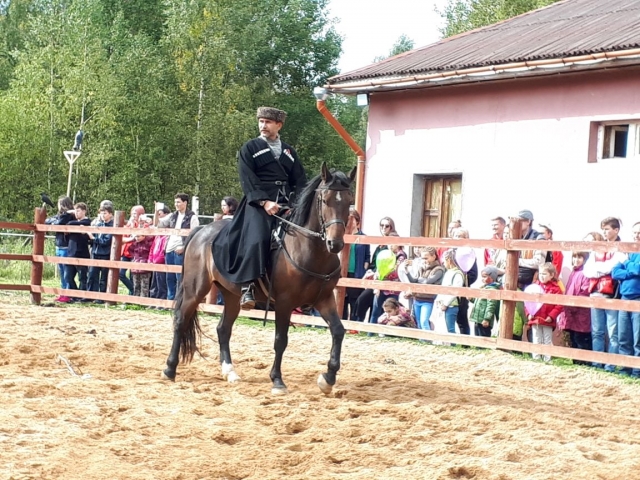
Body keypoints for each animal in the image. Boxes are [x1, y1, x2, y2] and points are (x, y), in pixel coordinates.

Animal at [162, 163, 356, 396]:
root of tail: (201, 230)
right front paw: (277, 380)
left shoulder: (324, 299)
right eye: (325, 200)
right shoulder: (284, 302)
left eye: (349, 201)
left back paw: (230, 372)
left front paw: (328, 378)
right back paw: (170, 369)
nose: (335, 243)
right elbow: (281, 340)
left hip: (231, 296)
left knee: (223, 329)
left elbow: (338, 331)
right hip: (195, 290)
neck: (307, 250)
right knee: (181, 321)